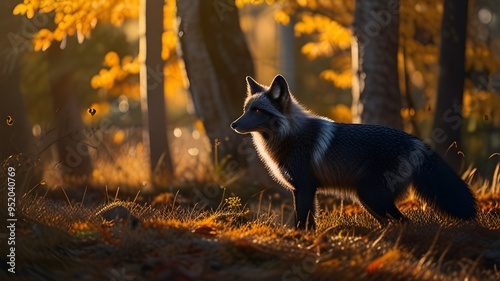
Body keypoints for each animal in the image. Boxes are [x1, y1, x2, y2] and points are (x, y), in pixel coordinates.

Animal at [230, 74, 476, 228]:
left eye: (258, 110)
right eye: (246, 109)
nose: (234, 124)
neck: (290, 136)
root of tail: (415, 141)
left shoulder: (306, 187)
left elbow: (301, 221)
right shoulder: (300, 190)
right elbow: (308, 223)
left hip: (370, 195)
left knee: (404, 221)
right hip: (368, 200)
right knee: (395, 222)